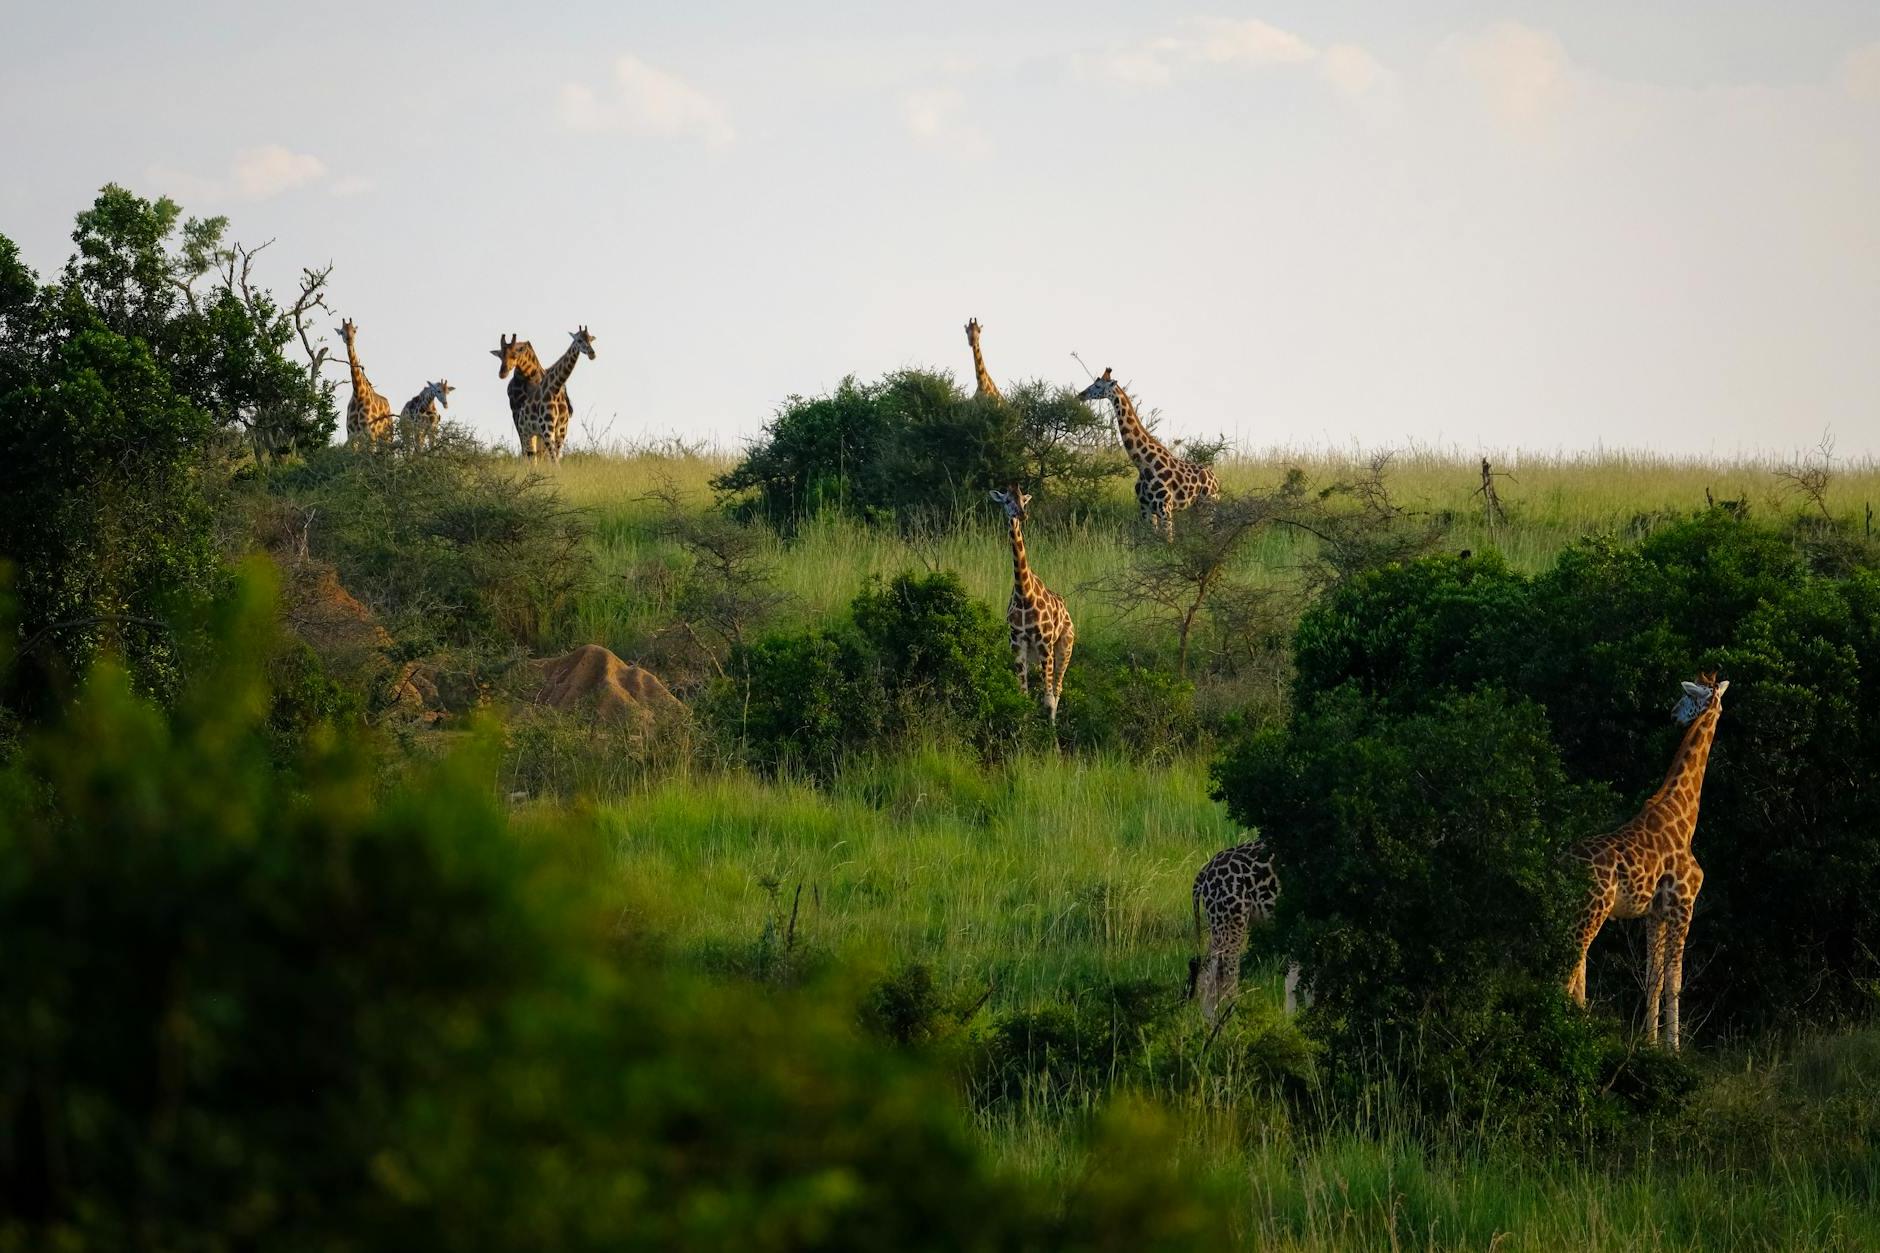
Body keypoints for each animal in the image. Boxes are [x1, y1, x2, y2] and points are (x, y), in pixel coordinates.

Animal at [338, 317, 392, 449]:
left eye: (354, 331)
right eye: (342, 331)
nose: (349, 339)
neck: (358, 393)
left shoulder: (370, 432)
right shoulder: (351, 434)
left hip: (386, 436)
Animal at [985, 489, 1075, 722]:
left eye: (1024, 502)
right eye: (1006, 500)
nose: (1021, 514)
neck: (1024, 595)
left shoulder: (1045, 643)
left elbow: (1048, 700)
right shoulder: (1017, 643)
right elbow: (1023, 696)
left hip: (1064, 648)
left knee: (1057, 690)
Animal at [1075, 363, 1218, 534]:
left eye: (1097, 385)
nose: (1080, 395)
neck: (1143, 465)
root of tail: (1216, 479)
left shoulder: (1165, 508)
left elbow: (1167, 539)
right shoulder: (1145, 508)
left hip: (1208, 505)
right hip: (1196, 507)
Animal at [1180, 835, 1300, 1023]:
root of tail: (1204, 873)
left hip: (1219, 924)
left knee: (1207, 974)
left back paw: (1212, 1022)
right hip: (1231, 922)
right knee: (1227, 978)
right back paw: (1235, 1022)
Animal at [1556, 669, 1729, 1046]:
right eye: (1687, 695)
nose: (1673, 714)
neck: (1684, 815)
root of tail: (1561, 864)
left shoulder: (1655, 913)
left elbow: (1654, 980)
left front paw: (1650, 1044)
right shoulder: (1683, 905)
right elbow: (1675, 982)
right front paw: (1673, 1048)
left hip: (1575, 910)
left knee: (1574, 966)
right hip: (1592, 910)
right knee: (1568, 966)